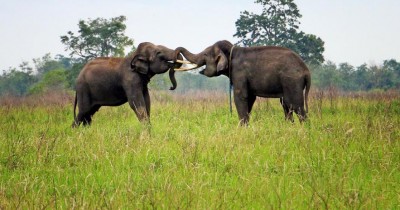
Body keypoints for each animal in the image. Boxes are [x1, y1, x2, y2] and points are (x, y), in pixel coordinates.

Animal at [173, 40, 310, 124]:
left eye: (205, 54)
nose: (176, 52)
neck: (232, 50)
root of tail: (306, 70)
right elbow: (250, 99)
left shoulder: (239, 73)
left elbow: (240, 97)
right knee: (286, 105)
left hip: (292, 81)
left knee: (294, 105)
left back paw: (304, 130)